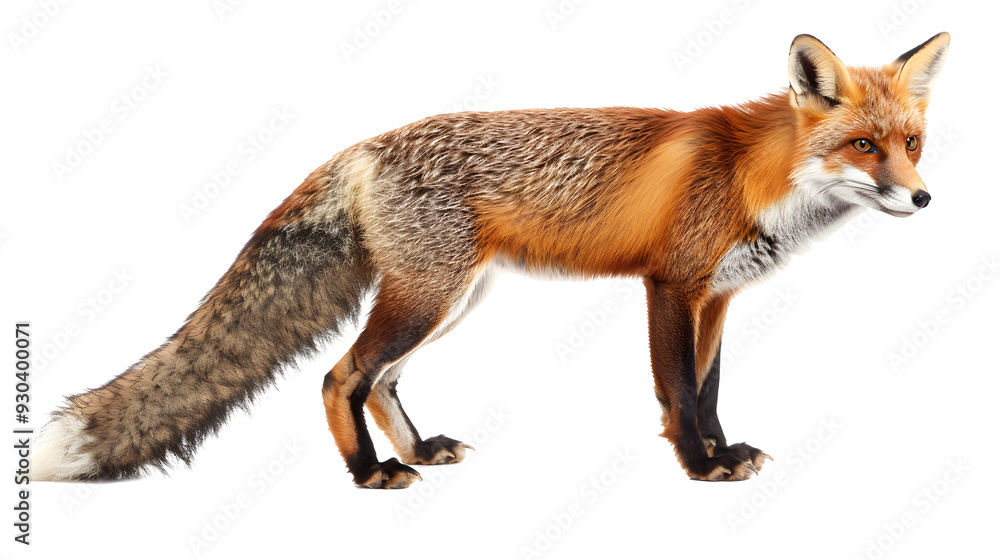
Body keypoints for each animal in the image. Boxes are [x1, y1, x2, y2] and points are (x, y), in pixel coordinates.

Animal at [33, 32, 949, 487]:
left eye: (911, 143)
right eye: (863, 147)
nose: (924, 200)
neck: (754, 176)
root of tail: (364, 147)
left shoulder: (718, 298)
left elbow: (712, 391)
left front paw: (725, 452)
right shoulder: (669, 286)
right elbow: (679, 396)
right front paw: (700, 466)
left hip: (453, 301)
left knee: (380, 382)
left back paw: (415, 454)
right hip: (427, 298)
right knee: (339, 376)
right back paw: (371, 476)